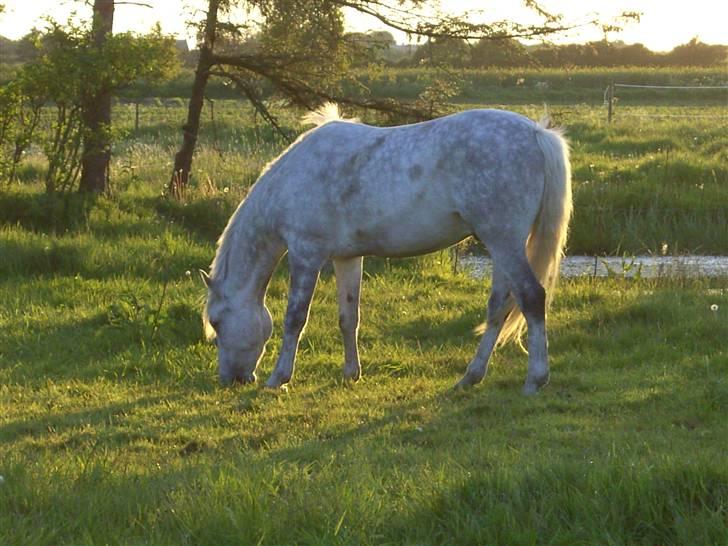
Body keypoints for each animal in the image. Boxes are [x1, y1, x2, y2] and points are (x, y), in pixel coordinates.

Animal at [202, 103, 572, 392]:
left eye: (217, 322)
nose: (232, 379)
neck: (293, 178)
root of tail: (536, 133)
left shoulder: (306, 254)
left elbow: (295, 318)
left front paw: (279, 377)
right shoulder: (347, 258)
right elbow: (348, 317)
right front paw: (351, 373)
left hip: (504, 241)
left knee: (531, 297)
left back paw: (535, 379)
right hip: (500, 244)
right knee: (499, 305)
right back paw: (471, 376)